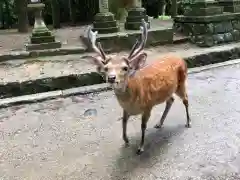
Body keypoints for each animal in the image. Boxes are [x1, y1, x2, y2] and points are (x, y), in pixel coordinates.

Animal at [86, 19, 191, 155]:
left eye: (125, 68)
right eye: (106, 68)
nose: (111, 78)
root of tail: (182, 59)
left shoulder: (148, 105)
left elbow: (143, 126)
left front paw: (140, 147)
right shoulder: (126, 109)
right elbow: (123, 121)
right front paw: (126, 140)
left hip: (181, 82)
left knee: (185, 99)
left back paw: (188, 122)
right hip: (168, 90)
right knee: (171, 100)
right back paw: (159, 123)